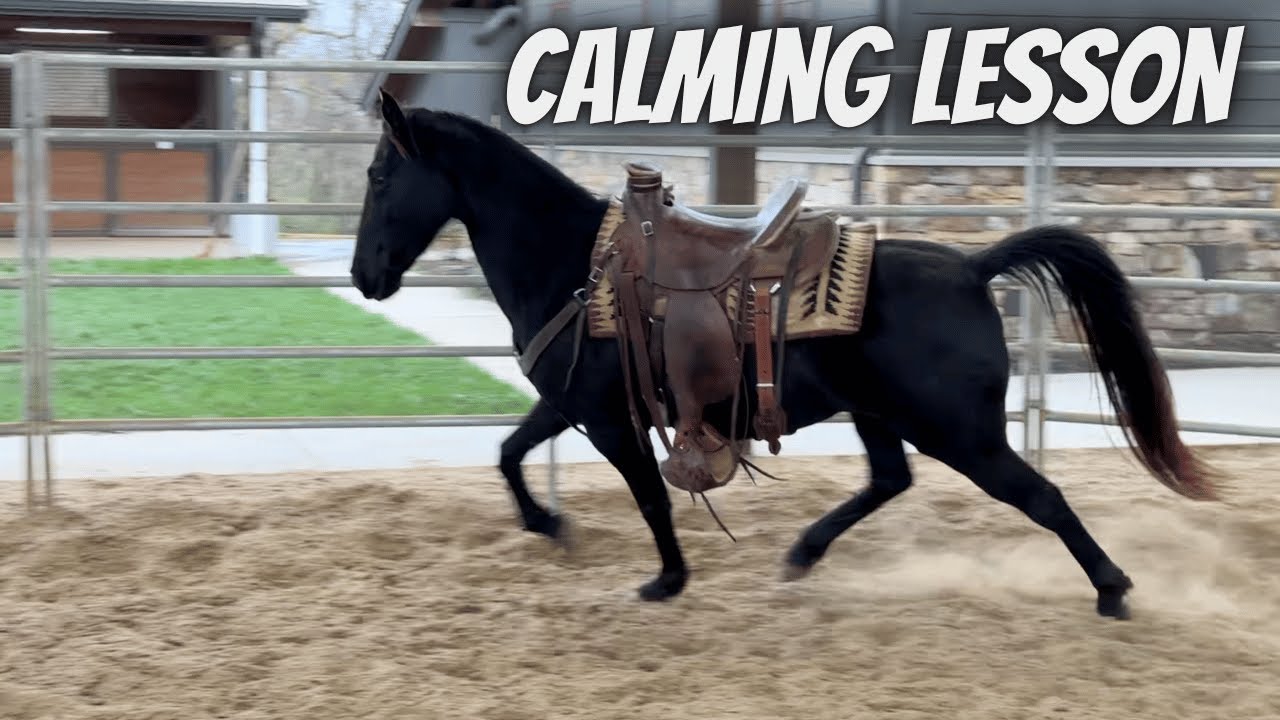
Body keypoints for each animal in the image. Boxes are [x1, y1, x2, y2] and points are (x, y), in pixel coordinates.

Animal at [349, 90, 1219, 621]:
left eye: (381, 173)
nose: (364, 275)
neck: (574, 265)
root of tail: (975, 268)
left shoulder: (608, 419)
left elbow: (651, 497)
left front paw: (666, 579)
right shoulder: (572, 405)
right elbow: (509, 451)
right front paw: (548, 525)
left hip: (960, 432)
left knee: (1039, 495)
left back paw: (1113, 590)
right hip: (881, 415)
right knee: (891, 480)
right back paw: (802, 553)